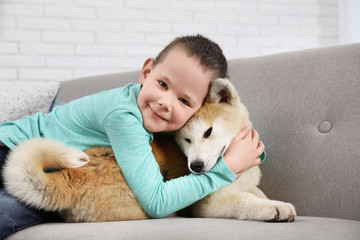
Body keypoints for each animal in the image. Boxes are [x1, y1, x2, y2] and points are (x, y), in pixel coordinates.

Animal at [2, 79, 296, 223]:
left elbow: (257, 193)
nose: (195, 168)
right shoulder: (206, 204)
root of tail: (74, 175)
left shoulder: (248, 184)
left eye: (208, 132)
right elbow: (245, 201)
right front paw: (276, 208)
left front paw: (272, 200)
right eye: (186, 140)